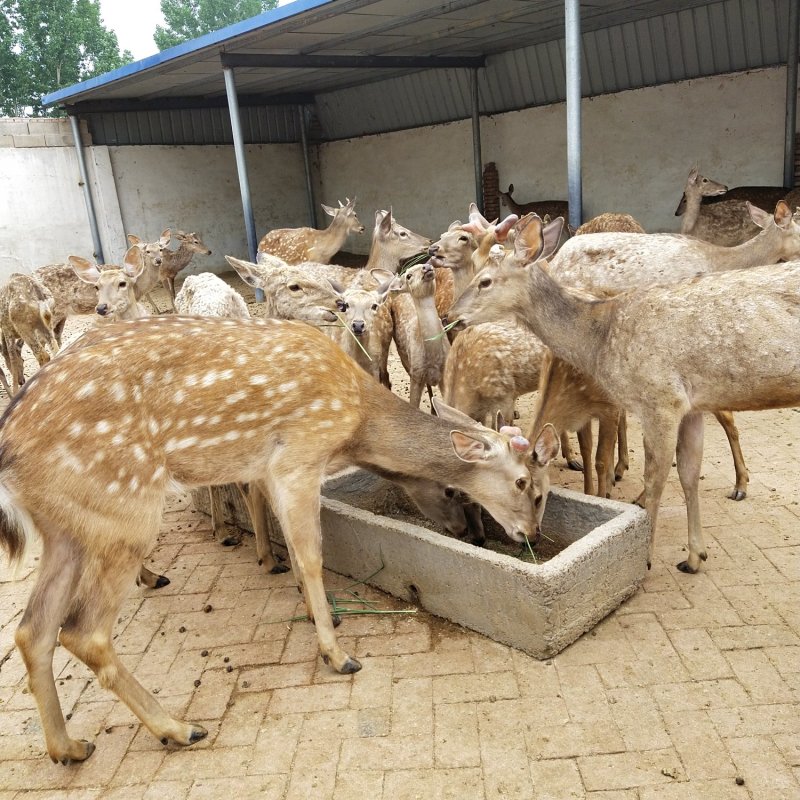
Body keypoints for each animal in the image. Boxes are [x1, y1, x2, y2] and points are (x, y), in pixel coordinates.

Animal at [0, 313, 556, 765]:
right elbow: (311, 555)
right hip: (124, 509)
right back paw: (179, 728)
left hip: (66, 527)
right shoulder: (299, 456)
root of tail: (9, 452)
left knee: (33, 630)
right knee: (83, 631)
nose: (528, 534)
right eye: (526, 486)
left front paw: (311, 608)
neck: (354, 423)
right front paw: (337, 652)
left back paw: (69, 747)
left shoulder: (270, 466)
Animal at [450, 212, 800, 575]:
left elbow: (655, 479)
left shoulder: (660, 399)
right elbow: (688, 474)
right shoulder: (691, 406)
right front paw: (694, 557)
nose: (451, 315)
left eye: (485, 281)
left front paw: (646, 558)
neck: (601, 337)